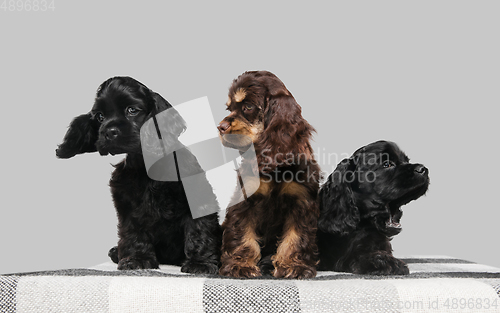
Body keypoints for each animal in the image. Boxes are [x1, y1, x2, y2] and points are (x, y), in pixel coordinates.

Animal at [54, 76, 221, 272]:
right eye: (100, 116)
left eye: (132, 110)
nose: (108, 132)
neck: (146, 166)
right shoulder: (128, 205)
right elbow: (134, 232)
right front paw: (137, 259)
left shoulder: (198, 197)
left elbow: (199, 231)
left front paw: (200, 263)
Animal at [218, 71, 320, 278]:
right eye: (230, 108)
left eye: (248, 106)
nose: (220, 127)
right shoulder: (244, 200)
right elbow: (243, 234)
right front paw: (239, 265)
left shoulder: (302, 201)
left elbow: (296, 237)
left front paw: (294, 266)